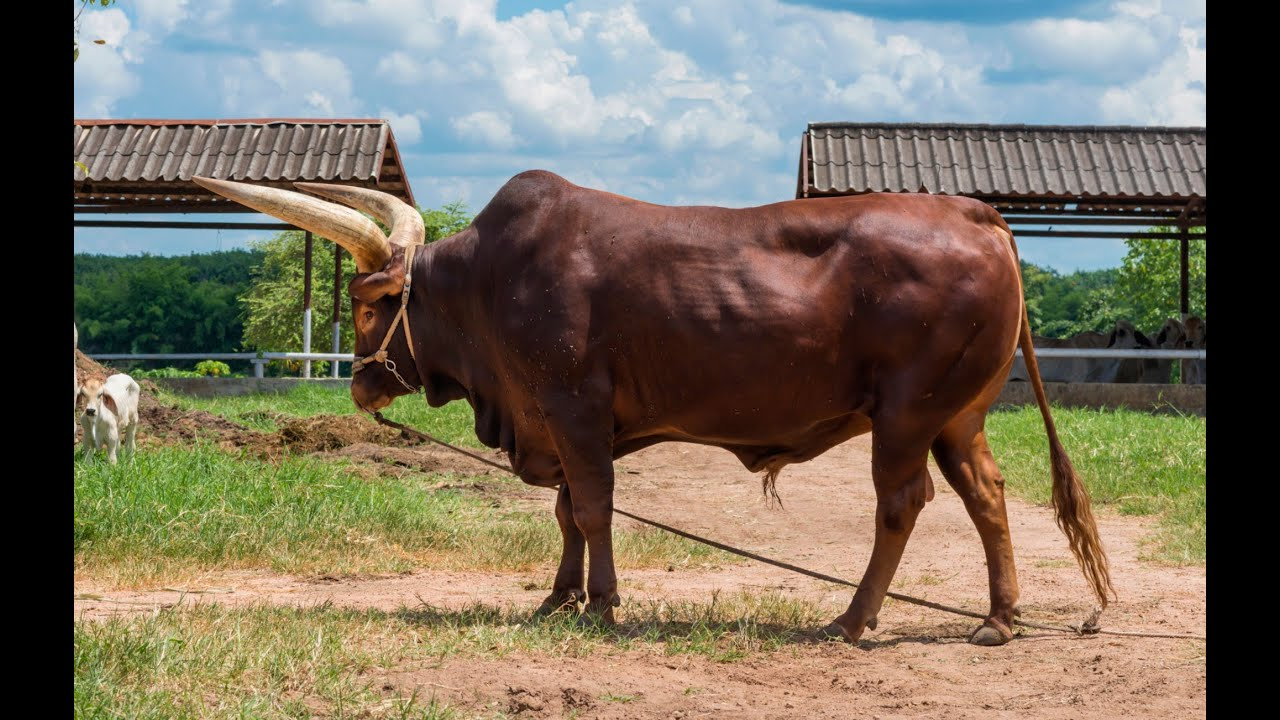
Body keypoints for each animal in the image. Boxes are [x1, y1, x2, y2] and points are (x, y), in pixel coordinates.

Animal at [192, 169, 1111, 645]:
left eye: (369, 303)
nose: (359, 382)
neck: (490, 282)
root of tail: (971, 212)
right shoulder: (552, 420)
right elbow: (566, 512)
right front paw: (557, 598)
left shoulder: (572, 407)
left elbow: (592, 506)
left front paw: (600, 603)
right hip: (959, 417)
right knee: (987, 496)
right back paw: (998, 618)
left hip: (908, 413)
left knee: (901, 503)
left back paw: (853, 619)